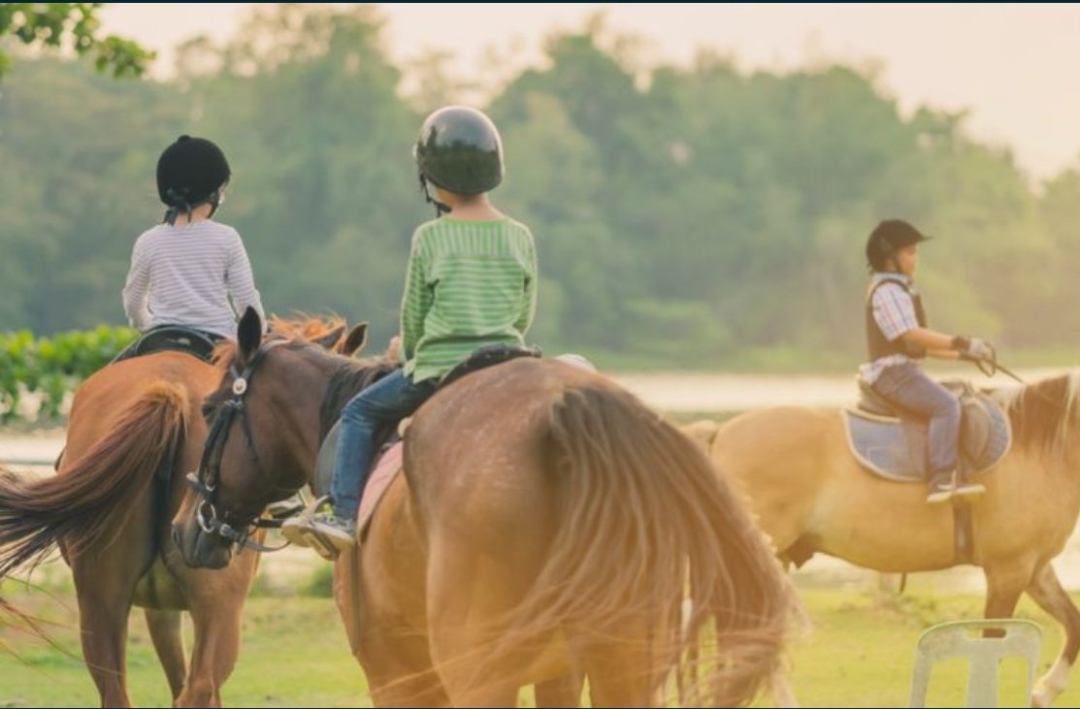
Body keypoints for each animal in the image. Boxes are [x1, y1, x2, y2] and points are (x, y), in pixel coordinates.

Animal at [0, 326, 347, 704]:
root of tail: (171, 391)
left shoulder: (159, 609)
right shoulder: (167, 610)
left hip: (101, 602)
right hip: (217, 605)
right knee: (200, 686)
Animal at [172, 311, 799, 709]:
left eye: (211, 408)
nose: (184, 528)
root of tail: (567, 413)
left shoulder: (396, 676)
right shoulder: (560, 673)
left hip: (478, 671)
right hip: (628, 663)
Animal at [682, 373, 1080, 704]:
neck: (1039, 449)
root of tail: (721, 434)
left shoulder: (1034, 568)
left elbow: (1072, 621)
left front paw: (1044, 692)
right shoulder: (1008, 570)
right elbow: (992, 645)